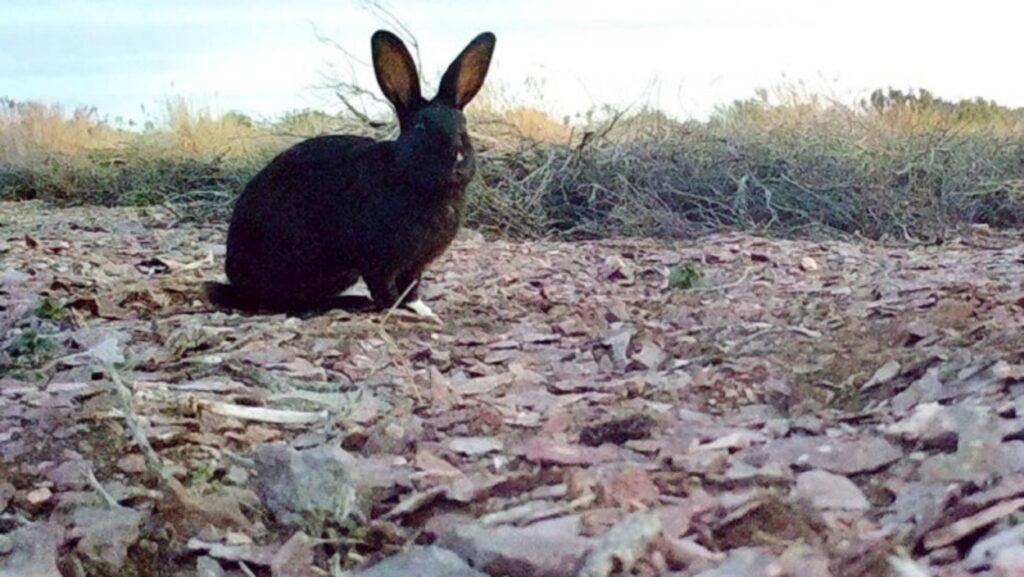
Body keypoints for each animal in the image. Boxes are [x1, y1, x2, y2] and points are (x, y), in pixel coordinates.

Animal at [201, 30, 493, 319]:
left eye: (463, 128)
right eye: (421, 127)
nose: (457, 162)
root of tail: (240, 286)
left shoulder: (414, 266)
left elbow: (412, 287)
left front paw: (422, 310)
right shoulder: (378, 260)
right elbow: (384, 289)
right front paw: (397, 311)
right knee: (285, 302)